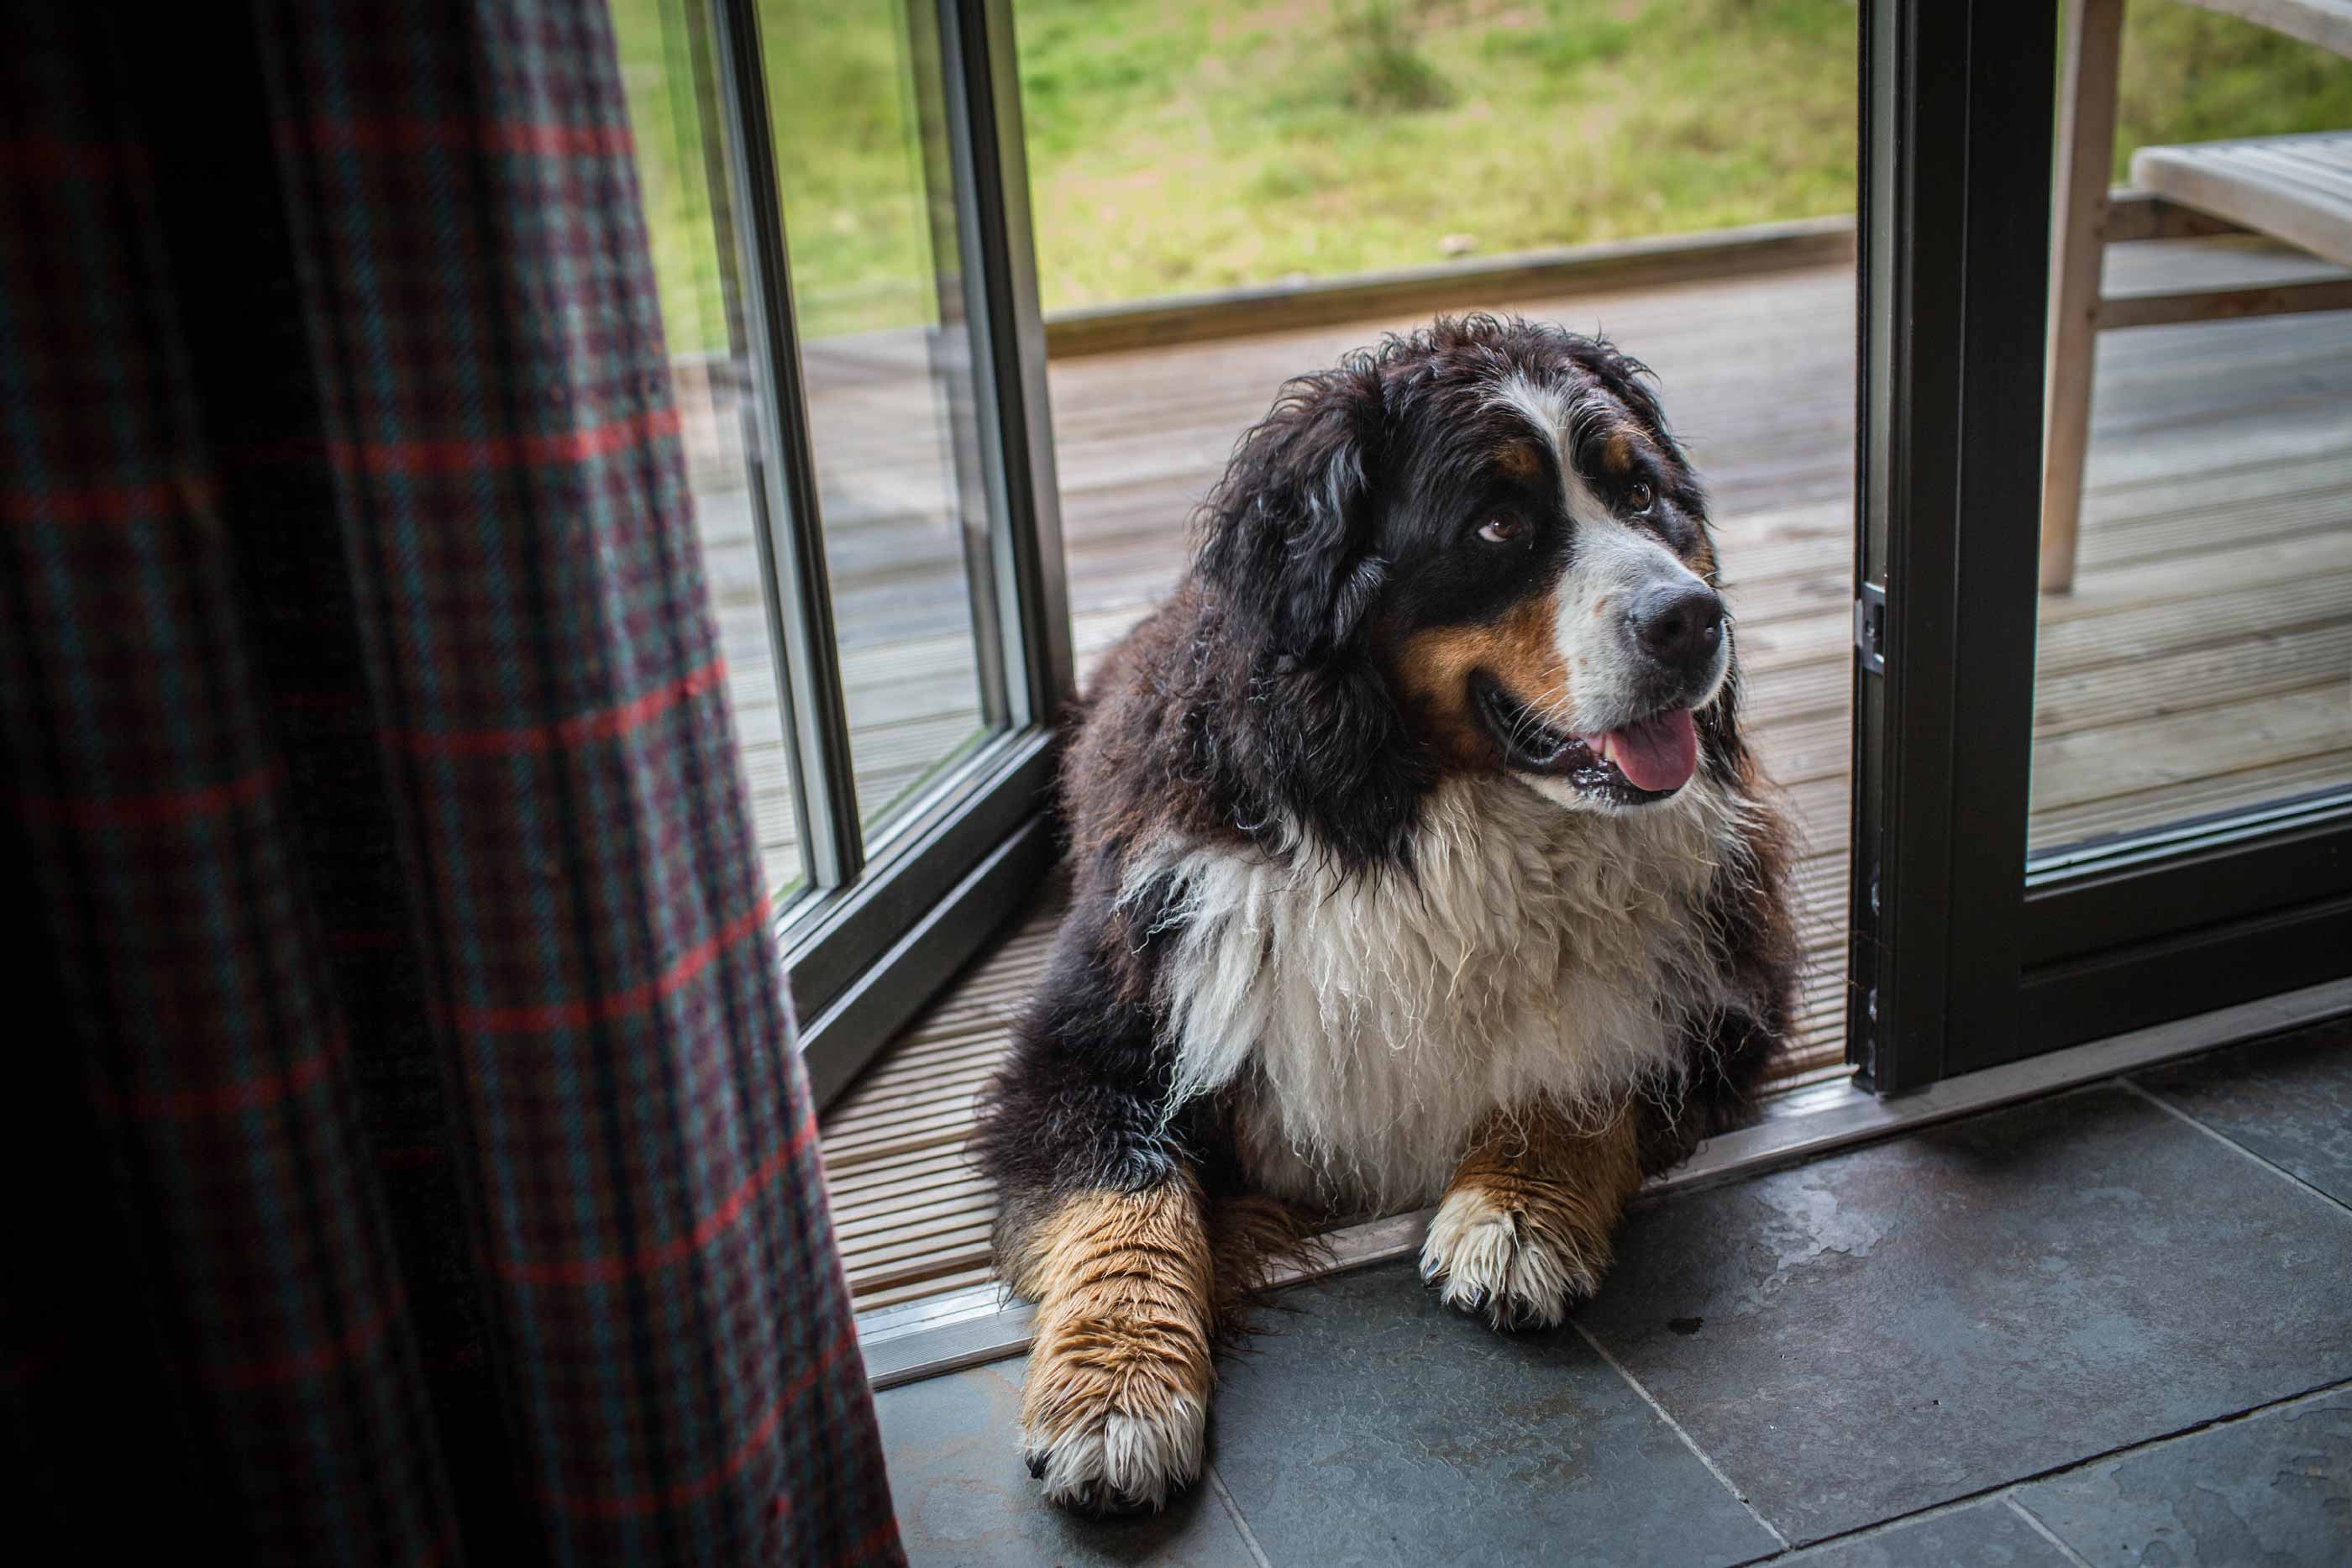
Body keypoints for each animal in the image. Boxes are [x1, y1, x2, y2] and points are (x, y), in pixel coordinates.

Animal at [974, 312, 1797, 1513]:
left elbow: (1592, 1055)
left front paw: (1515, 1211)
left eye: (1641, 494)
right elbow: (1125, 1196)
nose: (1694, 618)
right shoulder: (1091, 1037)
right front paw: (1116, 1395)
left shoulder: (1720, 977)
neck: (1411, 824)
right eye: (1497, 523)